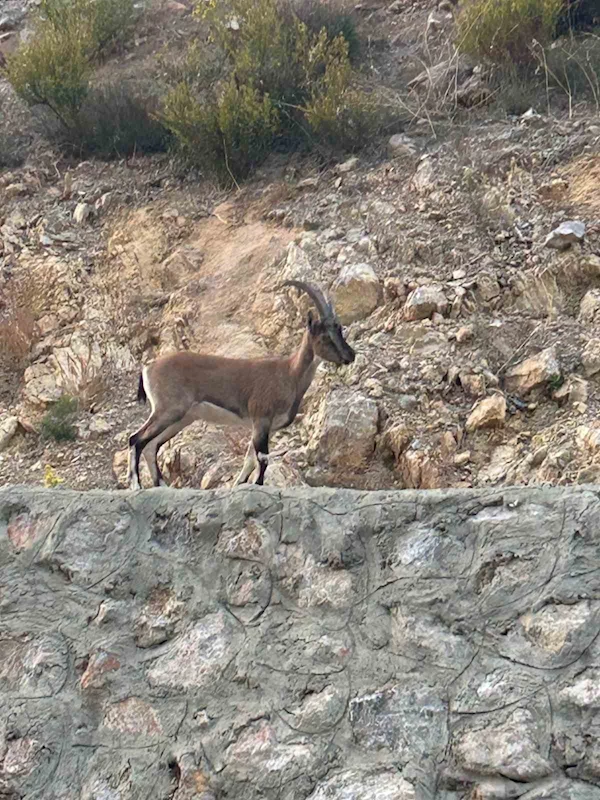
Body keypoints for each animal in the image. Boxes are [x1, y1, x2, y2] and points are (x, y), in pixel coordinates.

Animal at [125, 282, 352, 488]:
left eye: (339, 330)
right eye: (325, 336)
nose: (350, 356)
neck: (289, 374)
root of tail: (148, 368)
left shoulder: (267, 427)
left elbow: (250, 459)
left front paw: (239, 484)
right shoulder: (261, 419)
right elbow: (262, 458)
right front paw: (258, 484)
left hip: (182, 418)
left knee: (151, 445)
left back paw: (160, 485)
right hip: (169, 409)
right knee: (136, 439)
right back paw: (136, 485)